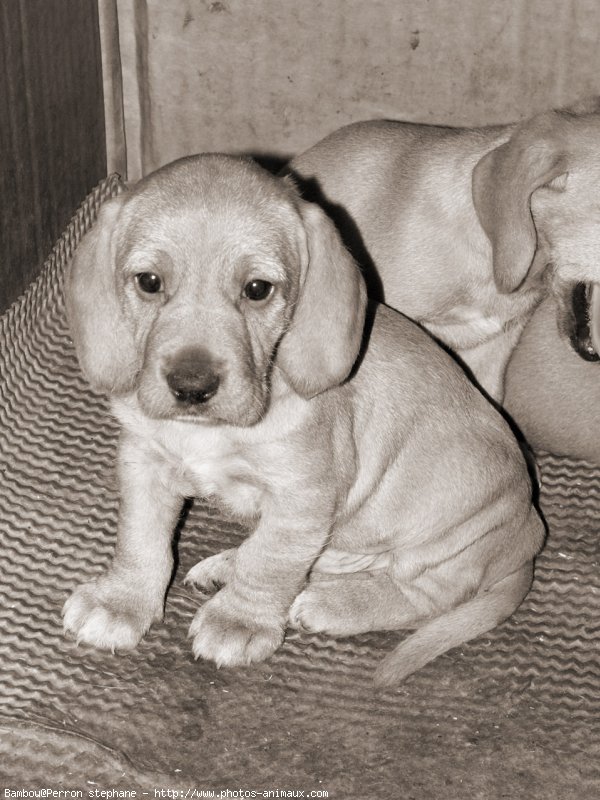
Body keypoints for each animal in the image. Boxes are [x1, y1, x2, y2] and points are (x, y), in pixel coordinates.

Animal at [63, 153, 548, 684]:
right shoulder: (145, 465)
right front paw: (122, 601)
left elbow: (269, 562)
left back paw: (333, 604)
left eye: (257, 289)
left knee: (423, 596)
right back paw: (230, 566)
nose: (191, 388)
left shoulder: (301, 497)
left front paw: (240, 621)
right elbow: (142, 540)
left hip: (446, 533)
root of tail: (528, 529)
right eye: (149, 282)